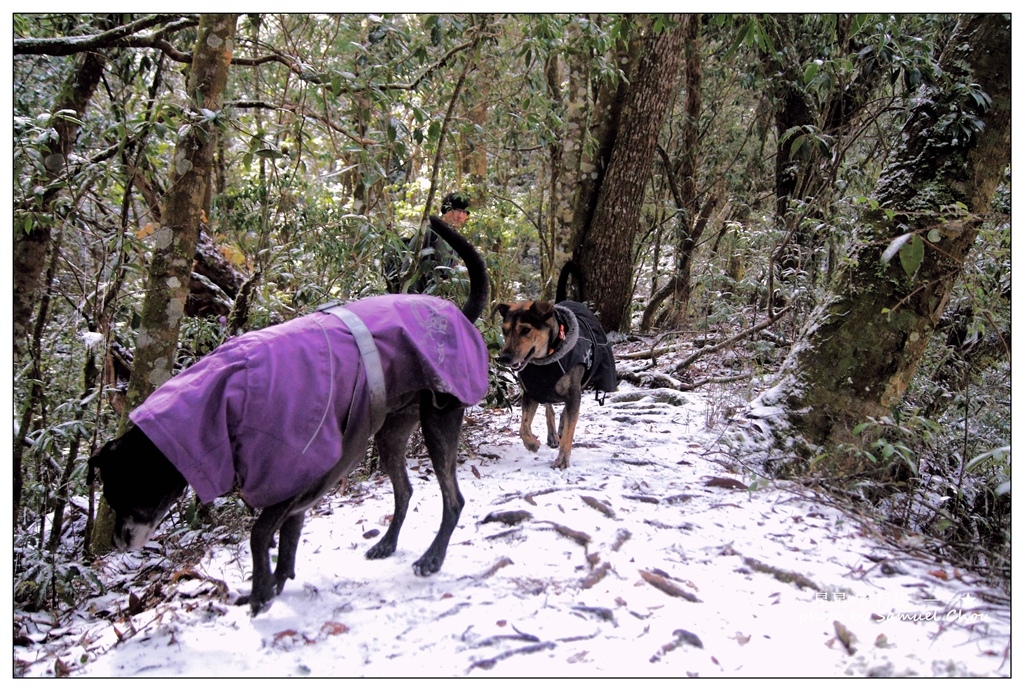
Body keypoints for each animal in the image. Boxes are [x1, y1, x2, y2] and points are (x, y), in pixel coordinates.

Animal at [89, 216, 489, 616]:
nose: (117, 542)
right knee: (404, 490)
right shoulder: (300, 484)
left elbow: (259, 535)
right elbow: (288, 538)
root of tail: (458, 313)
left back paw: (432, 557)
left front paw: (260, 594)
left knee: (453, 499)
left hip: (438, 422)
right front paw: (276, 583)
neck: (222, 398)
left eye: (121, 495)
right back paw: (387, 543)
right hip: (390, 434)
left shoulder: (294, 476)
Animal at [494, 270, 615, 469]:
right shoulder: (531, 391)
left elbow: (569, 430)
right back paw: (552, 435)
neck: (546, 358)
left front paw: (562, 460)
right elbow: (523, 427)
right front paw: (532, 444)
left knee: (565, 412)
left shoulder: (574, 393)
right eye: (504, 330)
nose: (503, 357)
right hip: (543, 390)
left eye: (525, 330)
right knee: (549, 408)